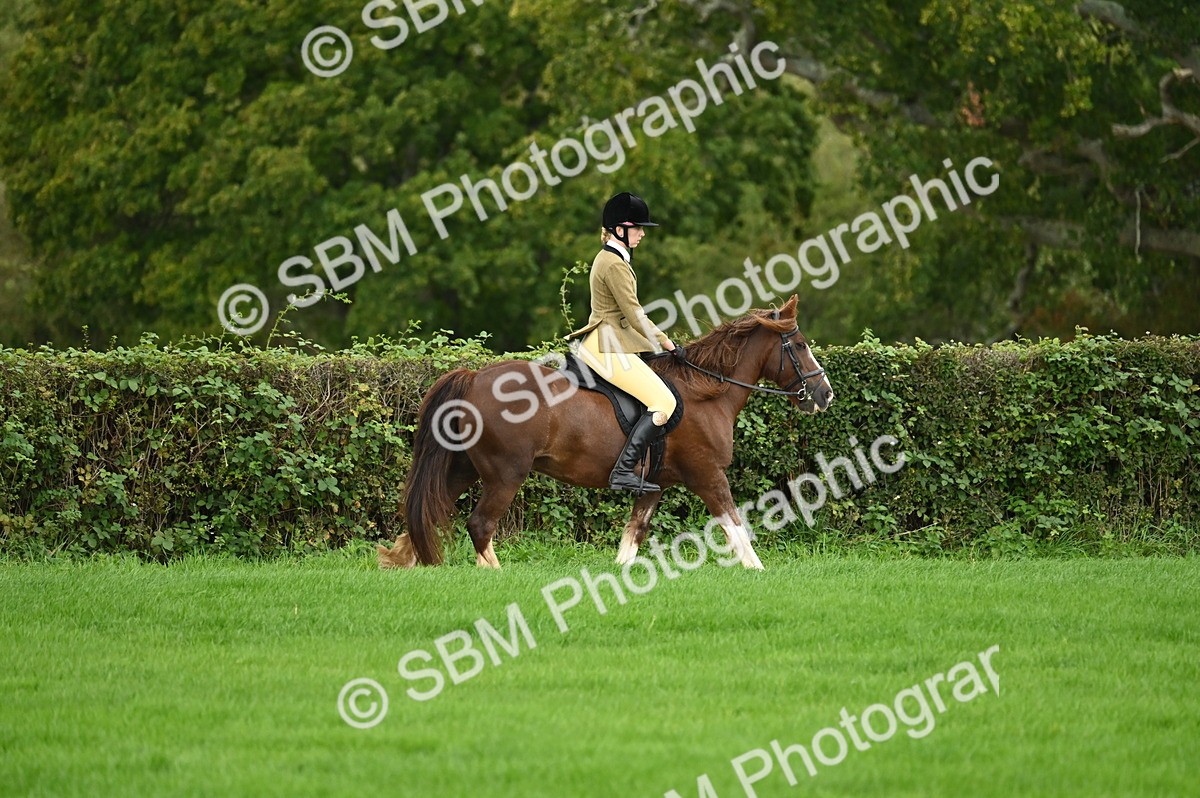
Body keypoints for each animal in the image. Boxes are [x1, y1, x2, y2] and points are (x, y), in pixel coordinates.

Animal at [377, 294, 834, 570]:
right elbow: (735, 527)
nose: (825, 394)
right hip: (506, 474)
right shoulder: (707, 475)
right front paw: (757, 571)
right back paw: (493, 574)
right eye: (801, 345)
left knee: (429, 507)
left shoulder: (655, 484)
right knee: (480, 524)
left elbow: (634, 534)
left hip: (465, 468)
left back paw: (400, 558)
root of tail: (474, 378)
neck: (707, 392)